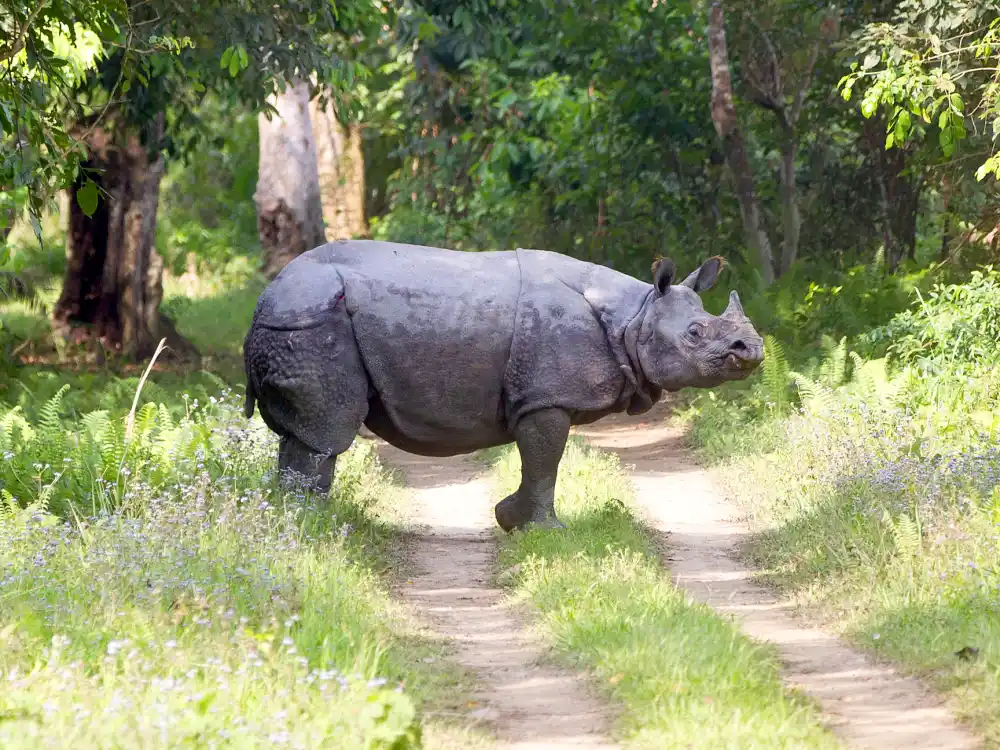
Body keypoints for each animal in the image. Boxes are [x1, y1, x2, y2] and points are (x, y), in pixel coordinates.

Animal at [243, 240, 764, 531]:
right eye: (695, 334)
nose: (752, 349)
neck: (634, 315)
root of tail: (265, 298)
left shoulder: (541, 394)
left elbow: (541, 462)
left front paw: (509, 520)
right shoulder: (545, 395)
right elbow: (544, 460)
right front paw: (542, 531)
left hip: (297, 321)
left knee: (300, 435)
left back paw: (294, 520)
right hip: (309, 323)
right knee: (326, 434)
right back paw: (312, 526)